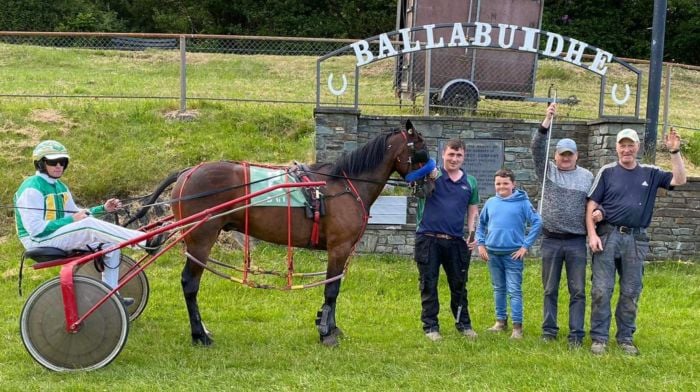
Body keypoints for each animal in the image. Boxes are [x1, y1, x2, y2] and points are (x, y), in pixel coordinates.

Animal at [131, 122, 426, 346]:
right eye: (421, 151)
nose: (431, 178)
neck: (342, 185)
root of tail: (188, 171)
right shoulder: (338, 247)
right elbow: (331, 290)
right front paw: (326, 332)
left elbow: (335, 287)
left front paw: (329, 325)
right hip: (200, 239)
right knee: (190, 284)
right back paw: (199, 334)